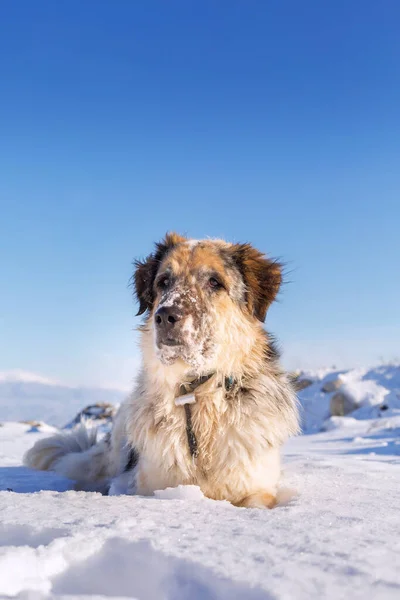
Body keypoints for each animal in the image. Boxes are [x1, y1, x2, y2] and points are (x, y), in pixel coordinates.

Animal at [24, 233, 300, 506]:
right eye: (164, 281)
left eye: (214, 282)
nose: (166, 315)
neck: (196, 392)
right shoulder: (148, 483)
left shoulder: (257, 487)